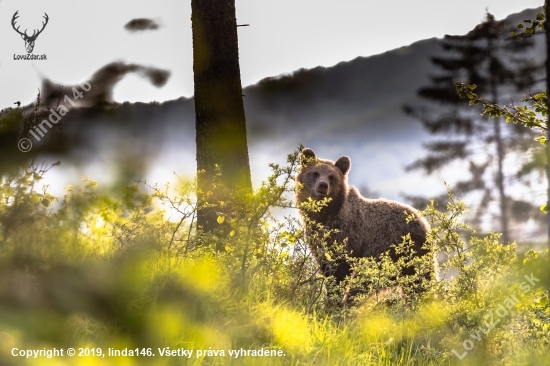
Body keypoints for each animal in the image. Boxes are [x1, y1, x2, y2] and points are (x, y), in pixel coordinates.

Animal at [296, 147, 434, 302]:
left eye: (332, 176)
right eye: (315, 173)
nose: (323, 186)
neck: (325, 214)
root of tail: (423, 222)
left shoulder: (347, 233)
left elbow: (340, 269)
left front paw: (335, 299)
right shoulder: (317, 239)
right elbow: (327, 267)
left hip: (389, 245)